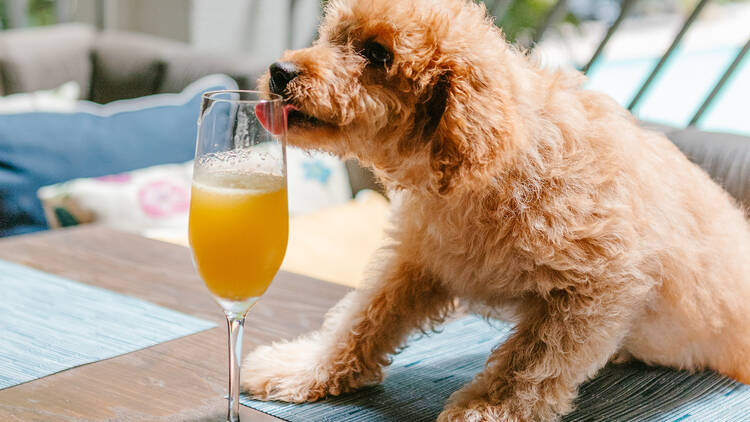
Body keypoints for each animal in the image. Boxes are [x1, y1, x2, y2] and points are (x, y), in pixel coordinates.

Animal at [244, 0, 750, 418]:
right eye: (330, 36)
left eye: (377, 54)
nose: (278, 70)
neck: (497, 168)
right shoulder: (421, 259)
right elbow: (362, 318)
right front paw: (304, 370)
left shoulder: (600, 287)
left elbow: (533, 361)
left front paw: (488, 408)